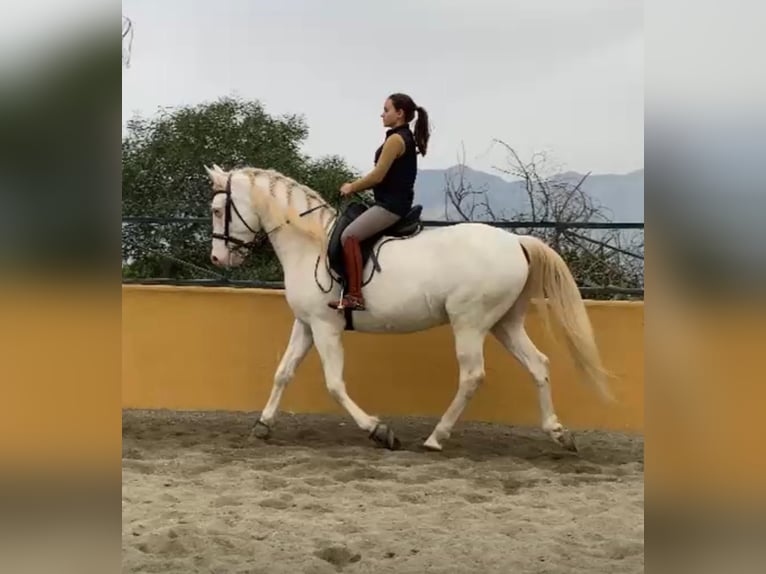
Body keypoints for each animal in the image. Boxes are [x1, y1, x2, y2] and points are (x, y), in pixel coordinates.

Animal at [204, 164, 613, 452]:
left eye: (218, 209)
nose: (217, 258)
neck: (310, 245)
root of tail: (516, 242)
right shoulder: (306, 324)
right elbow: (283, 373)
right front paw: (262, 426)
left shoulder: (325, 327)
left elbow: (334, 384)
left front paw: (379, 430)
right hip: (504, 323)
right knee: (538, 364)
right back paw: (558, 433)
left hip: (470, 323)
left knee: (472, 376)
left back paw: (436, 437)